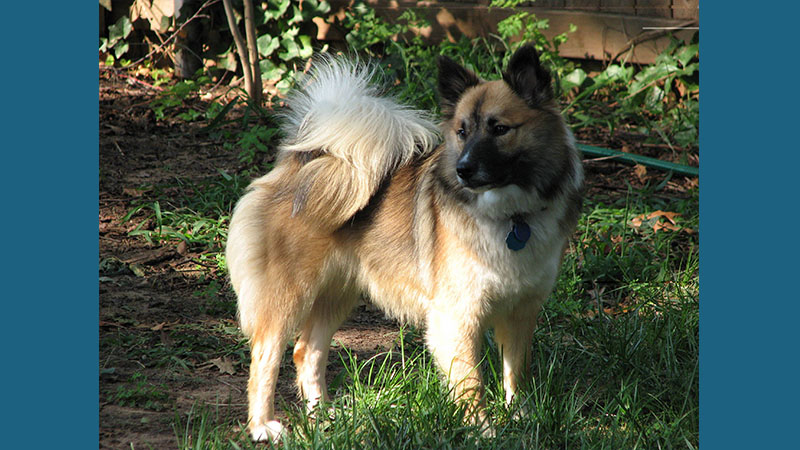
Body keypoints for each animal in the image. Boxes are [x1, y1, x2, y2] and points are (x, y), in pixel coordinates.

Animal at [225, 44, 580, 442]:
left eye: (500, 129)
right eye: (462, 132)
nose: (463, 169)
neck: (511, 216)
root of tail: (301, 159)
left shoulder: (520, 311)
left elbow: (516, 371)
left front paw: (519, 417)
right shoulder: (458, 317)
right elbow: (471, 383)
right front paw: (482, 430)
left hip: (337, 294)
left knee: (307, 351)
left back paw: (324, 416)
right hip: (287, 296)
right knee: (265, 358)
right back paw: (262, 426)